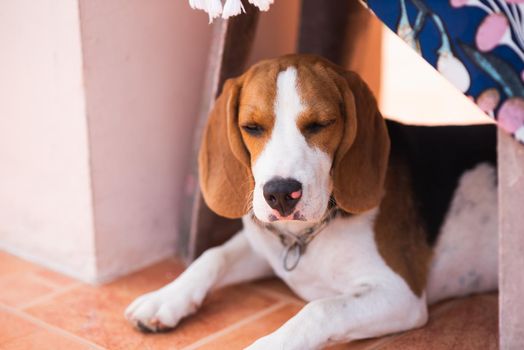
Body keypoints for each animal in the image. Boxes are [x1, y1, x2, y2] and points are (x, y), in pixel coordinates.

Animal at [125, 54, 498, 350]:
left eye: (320, 124)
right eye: (252, 127)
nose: (280, 193)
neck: (306, 235)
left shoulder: (400, 293)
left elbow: (319, 309)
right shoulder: (264, 246)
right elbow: (212, 256)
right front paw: (165, 297)